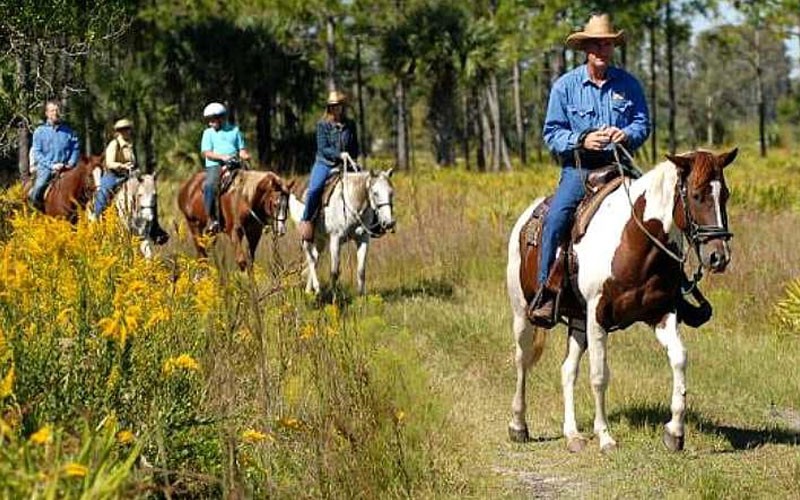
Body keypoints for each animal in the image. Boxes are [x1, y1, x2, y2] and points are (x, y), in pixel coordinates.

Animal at [290, 166, 396, 294]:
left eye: (391, 193)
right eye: (375, 193)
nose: (389, 223)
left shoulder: (363, 239)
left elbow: (361, 270)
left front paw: (361, 295)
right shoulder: (335, 240)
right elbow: (334, 272)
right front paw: (334, 296)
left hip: (321, 240)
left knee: (315, 259)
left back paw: (309, 290)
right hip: (306, 236)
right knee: (310, 259)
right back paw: (317, 287)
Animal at [506, 147, 736, 454]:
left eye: (725, 195)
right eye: (697, 195)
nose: (718, 257)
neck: (635, 241)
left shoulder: (662, 313)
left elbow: (679, 358)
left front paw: (674, 432)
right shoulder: (597, 316)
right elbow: (599, 376)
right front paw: (605, 437)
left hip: (578, 321)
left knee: (568, 370)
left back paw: (573, 435)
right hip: (523, 313)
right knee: (522, 360)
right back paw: (518, 425)